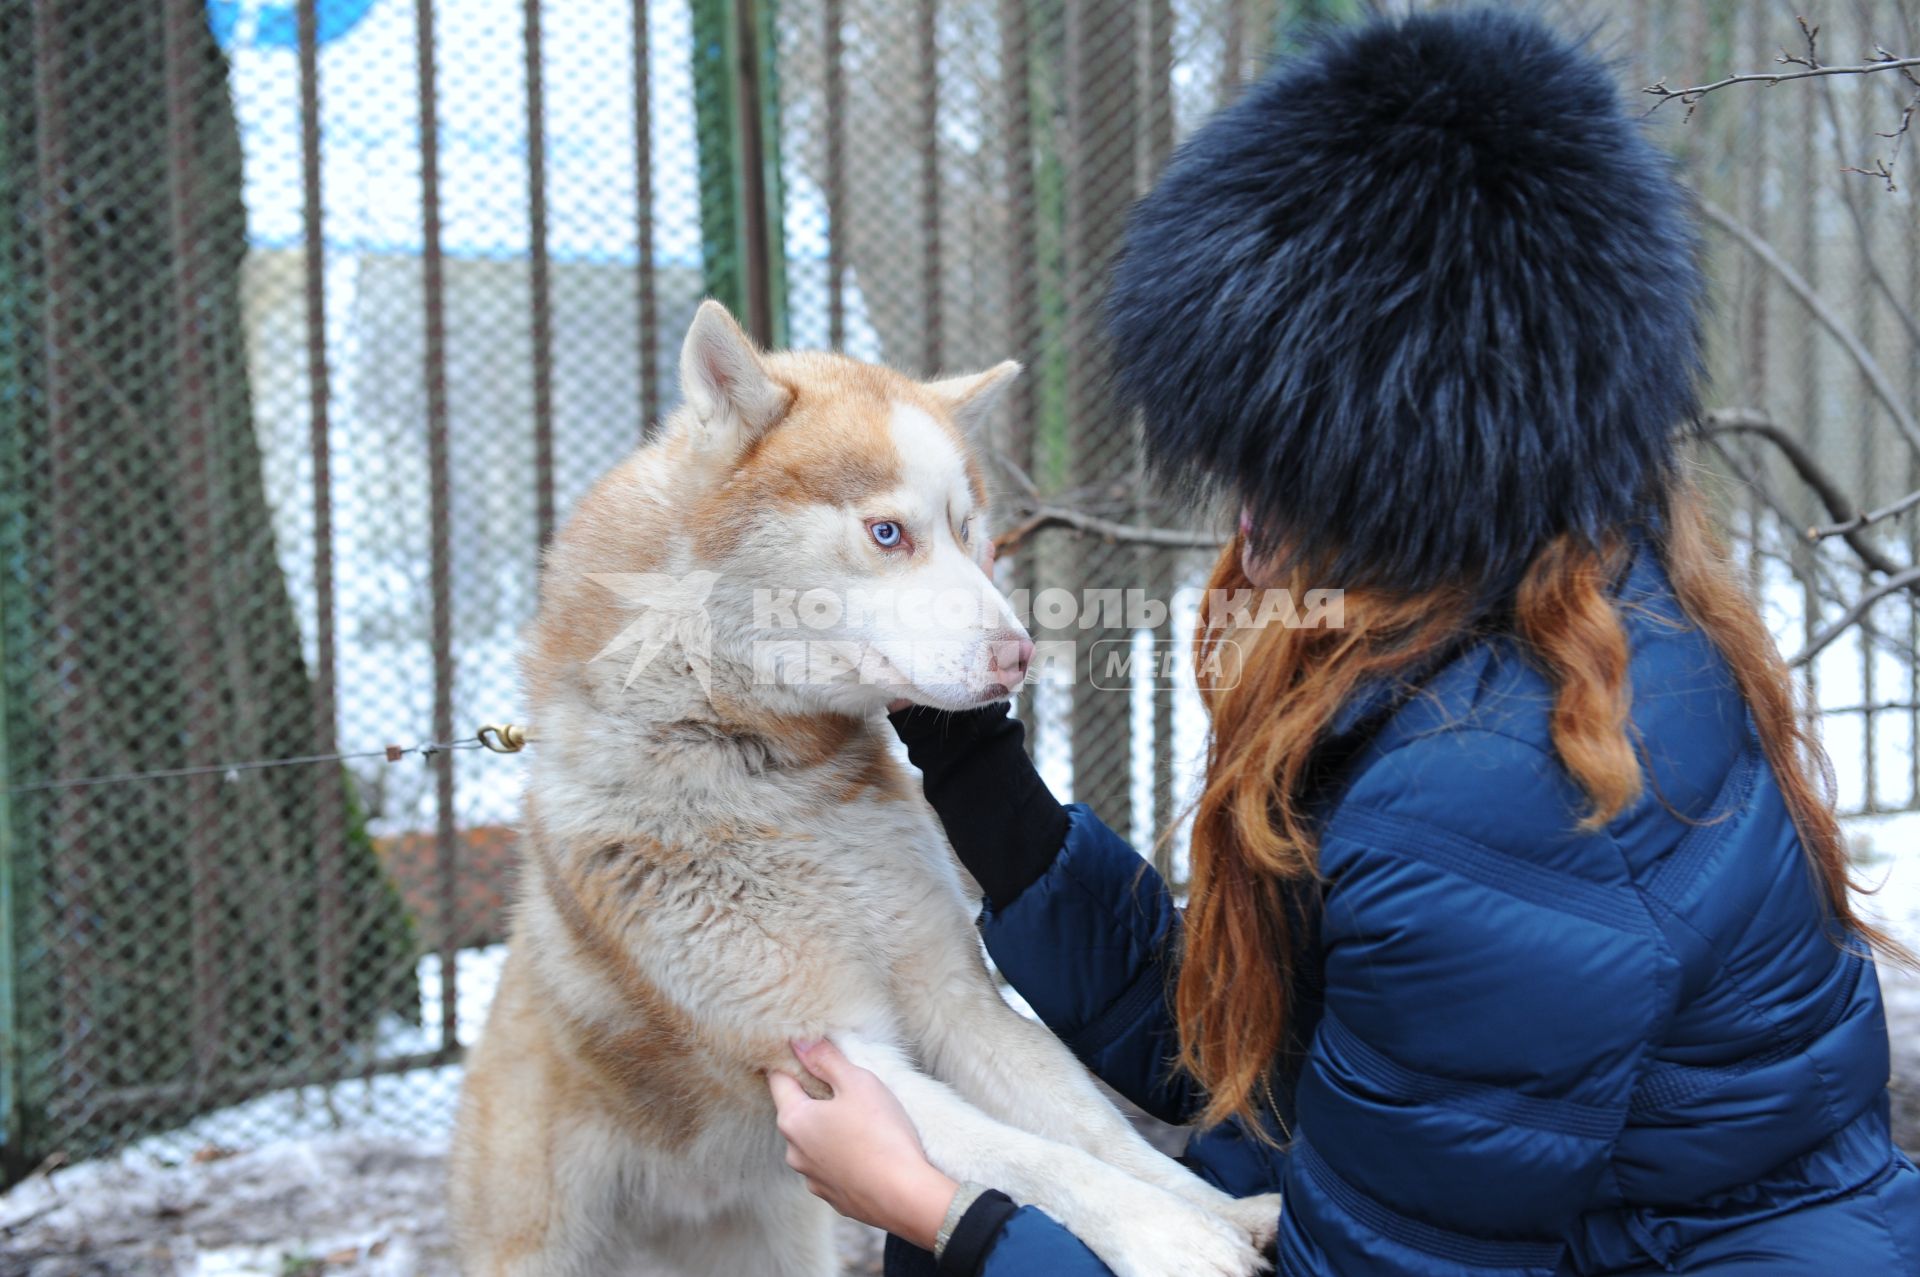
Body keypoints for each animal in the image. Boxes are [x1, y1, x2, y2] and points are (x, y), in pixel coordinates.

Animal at [453, 303, 1274, 1267]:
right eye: (888, 533)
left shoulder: (954, 998)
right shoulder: (837, 1051)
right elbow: (1040, 1160)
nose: (1019, 655)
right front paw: (1170, 1240)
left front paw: (1219, 1210)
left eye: (967, 529)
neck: (769, 776)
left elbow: (1094, 1135)